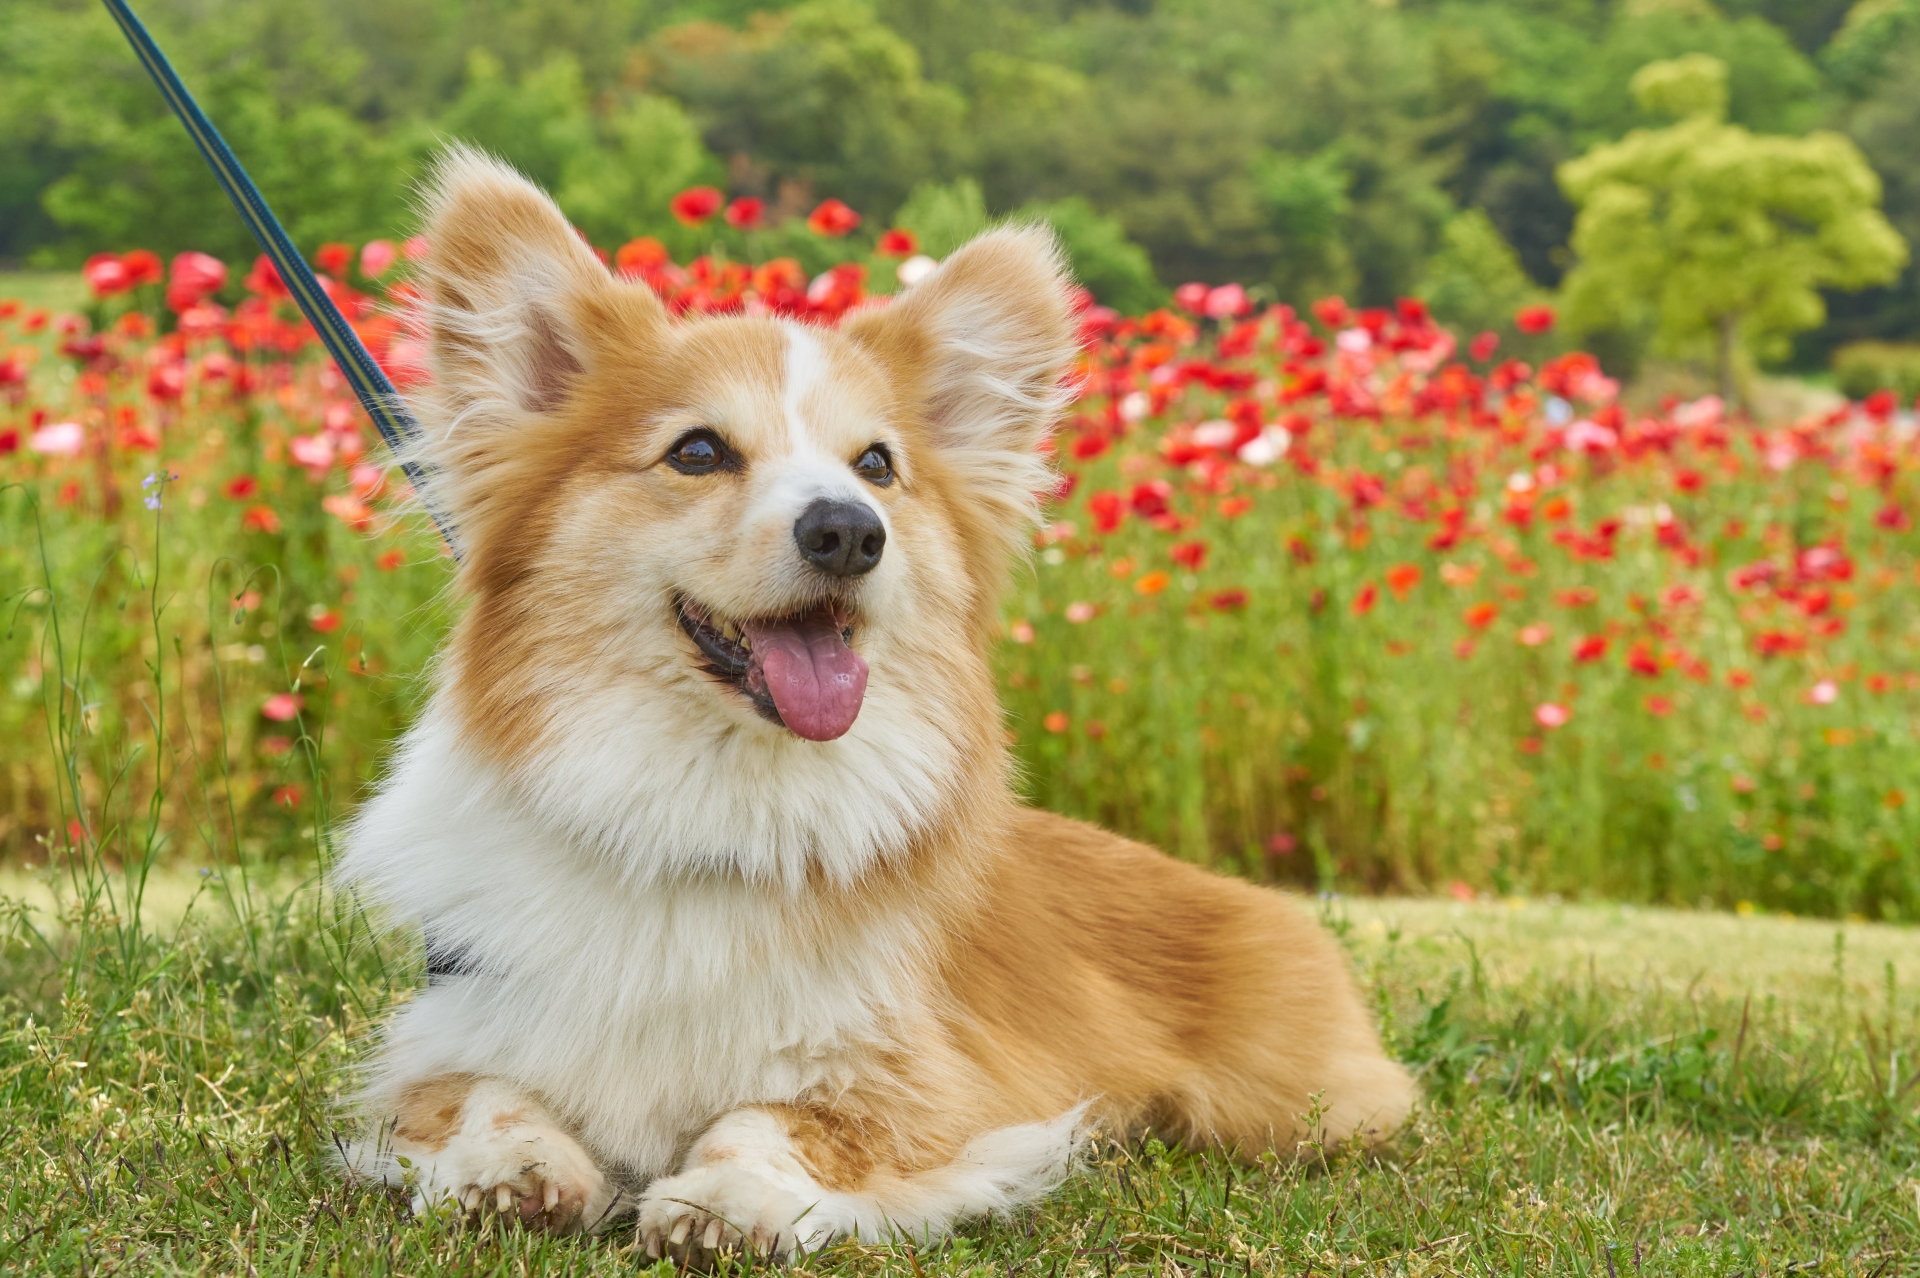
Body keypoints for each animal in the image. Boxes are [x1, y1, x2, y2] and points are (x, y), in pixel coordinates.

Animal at [341, 146, 1413, 1251]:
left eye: (876, 466)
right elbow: (483, 1093)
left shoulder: (930, 1082)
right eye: (697, 451)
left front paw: (726, 1198)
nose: (849, 530)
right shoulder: (453, 1030)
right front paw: (509, 1170)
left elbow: (779, 1118)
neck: (716, 797)